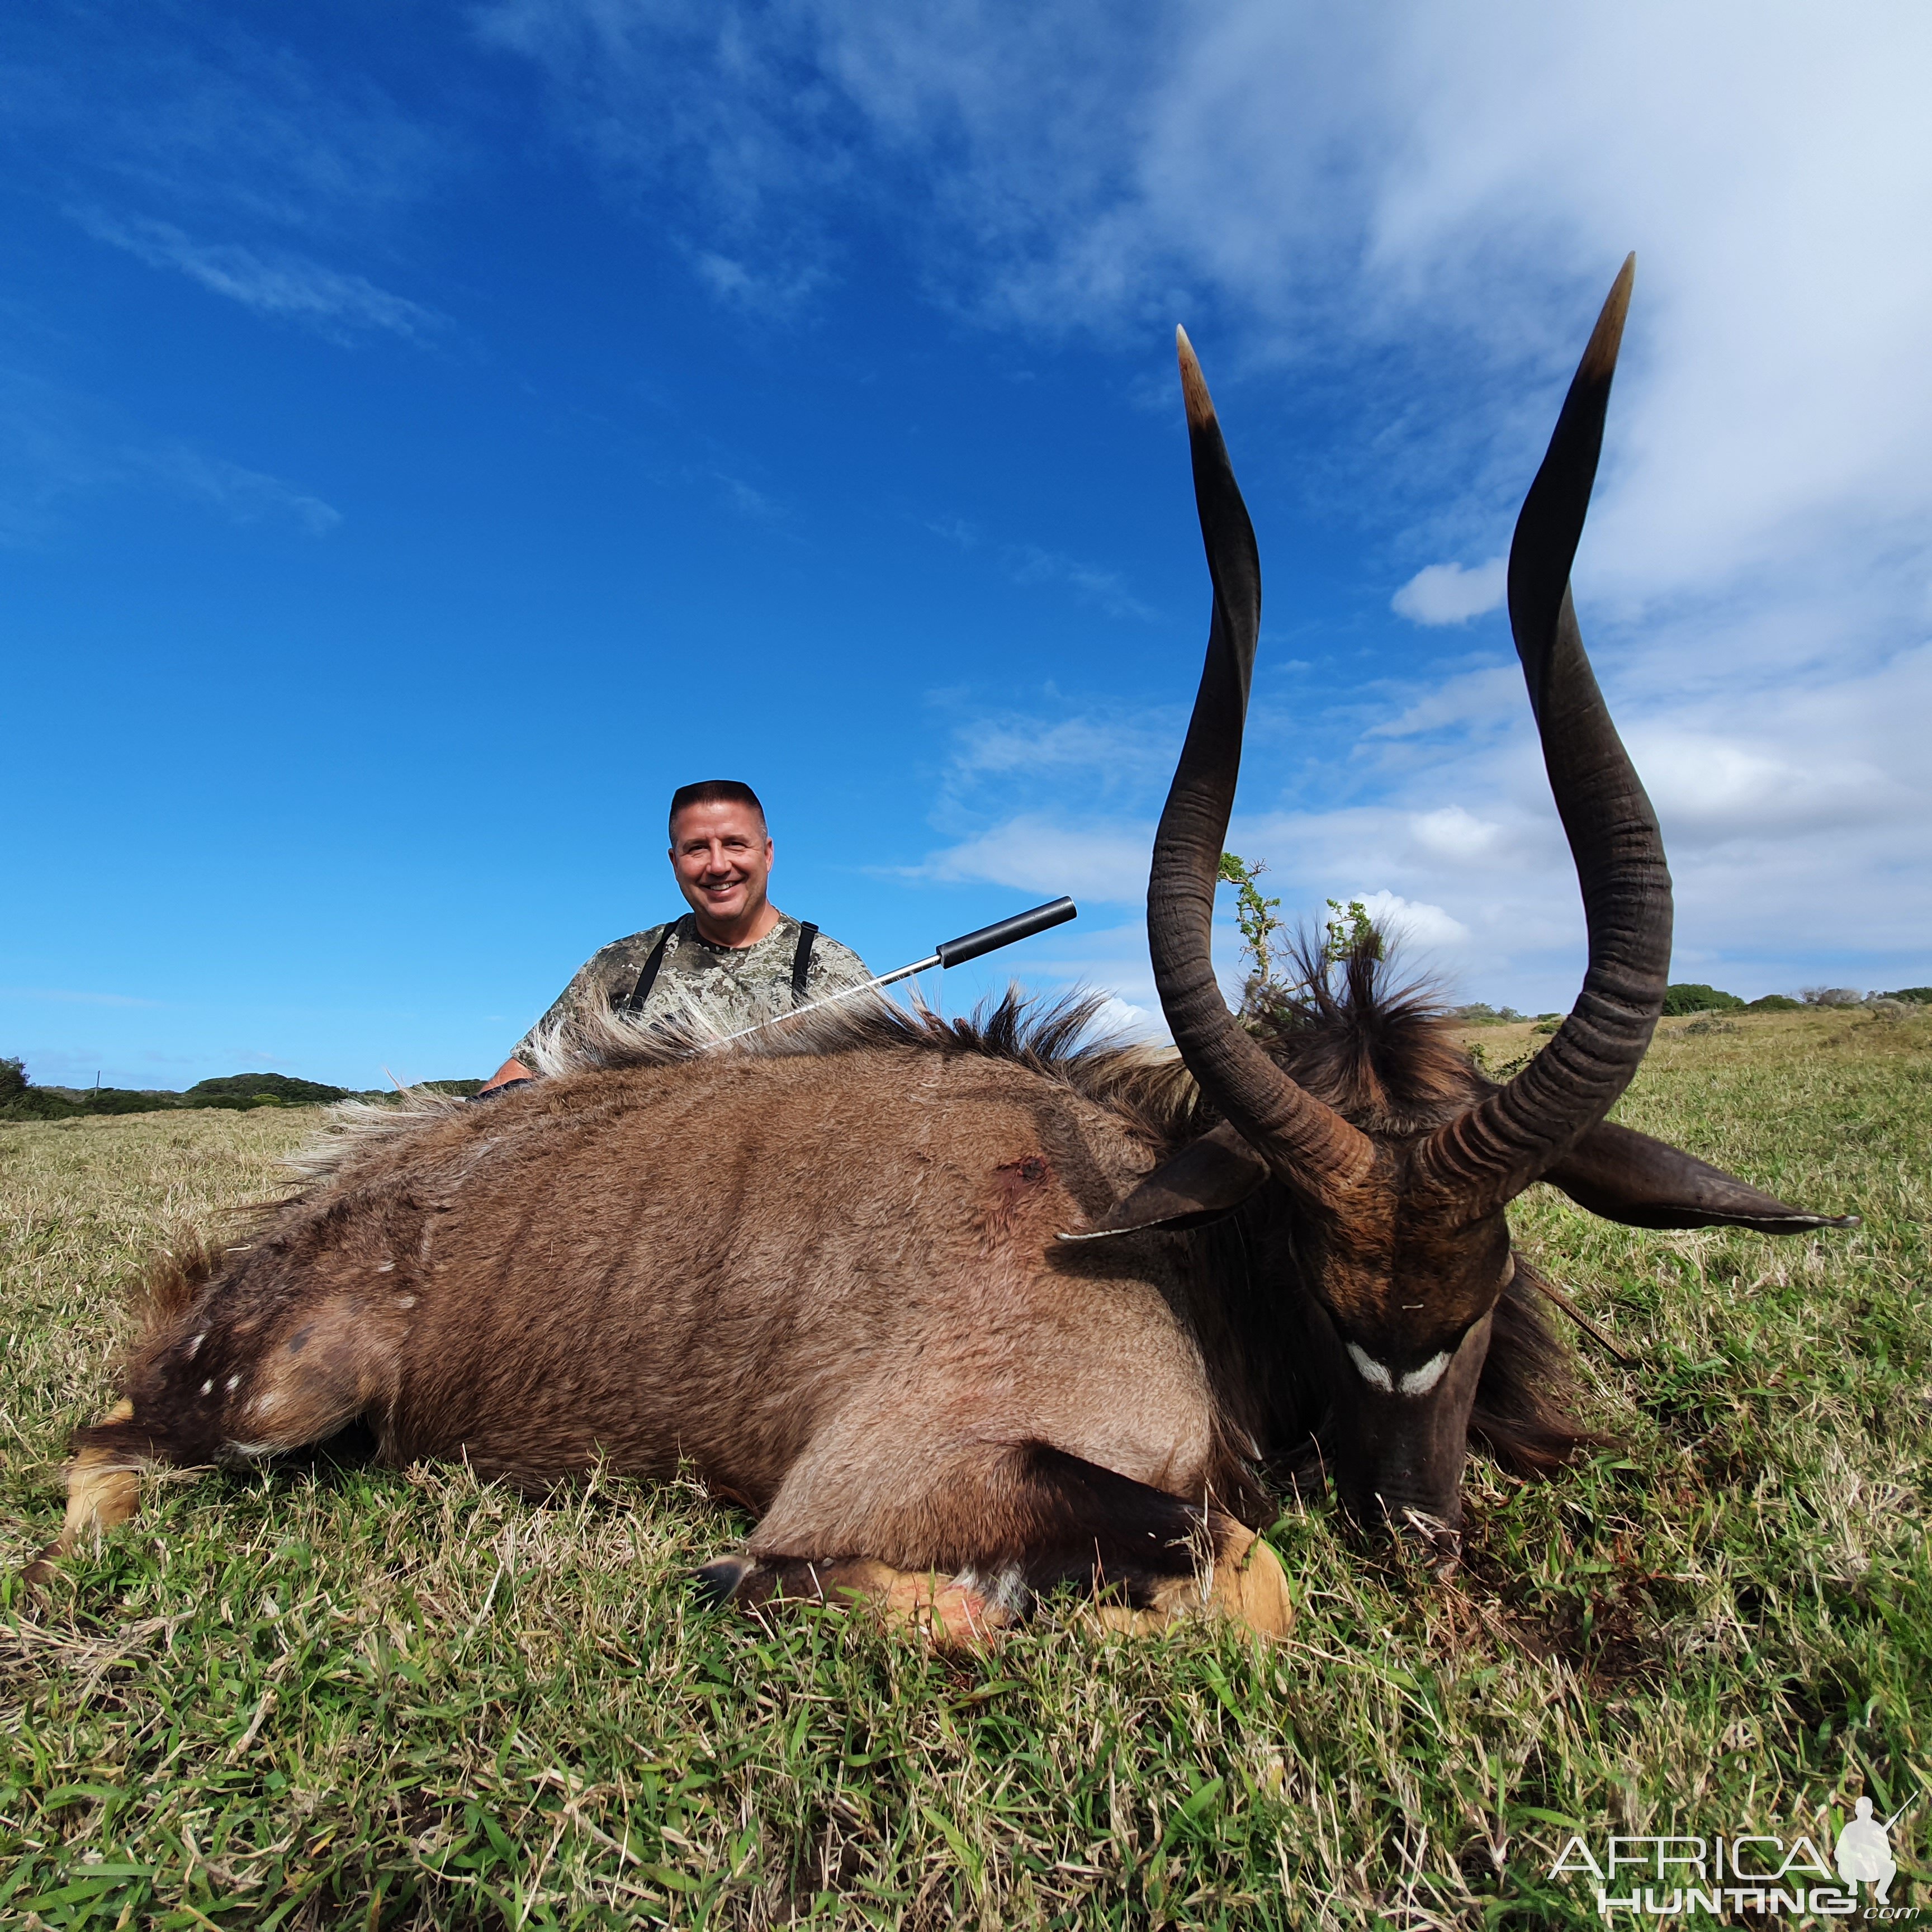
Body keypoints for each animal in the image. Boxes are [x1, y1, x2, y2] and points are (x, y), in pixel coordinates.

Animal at [26, 261, 1839, 1646]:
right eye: (1333, 1293)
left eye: (1489, 1288)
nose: (1421, 1537)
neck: (1168, 1242)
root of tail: (281, 1233)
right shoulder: (899, 1475)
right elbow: (1222, 1569)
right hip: (259, 1405)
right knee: (95, 1454)